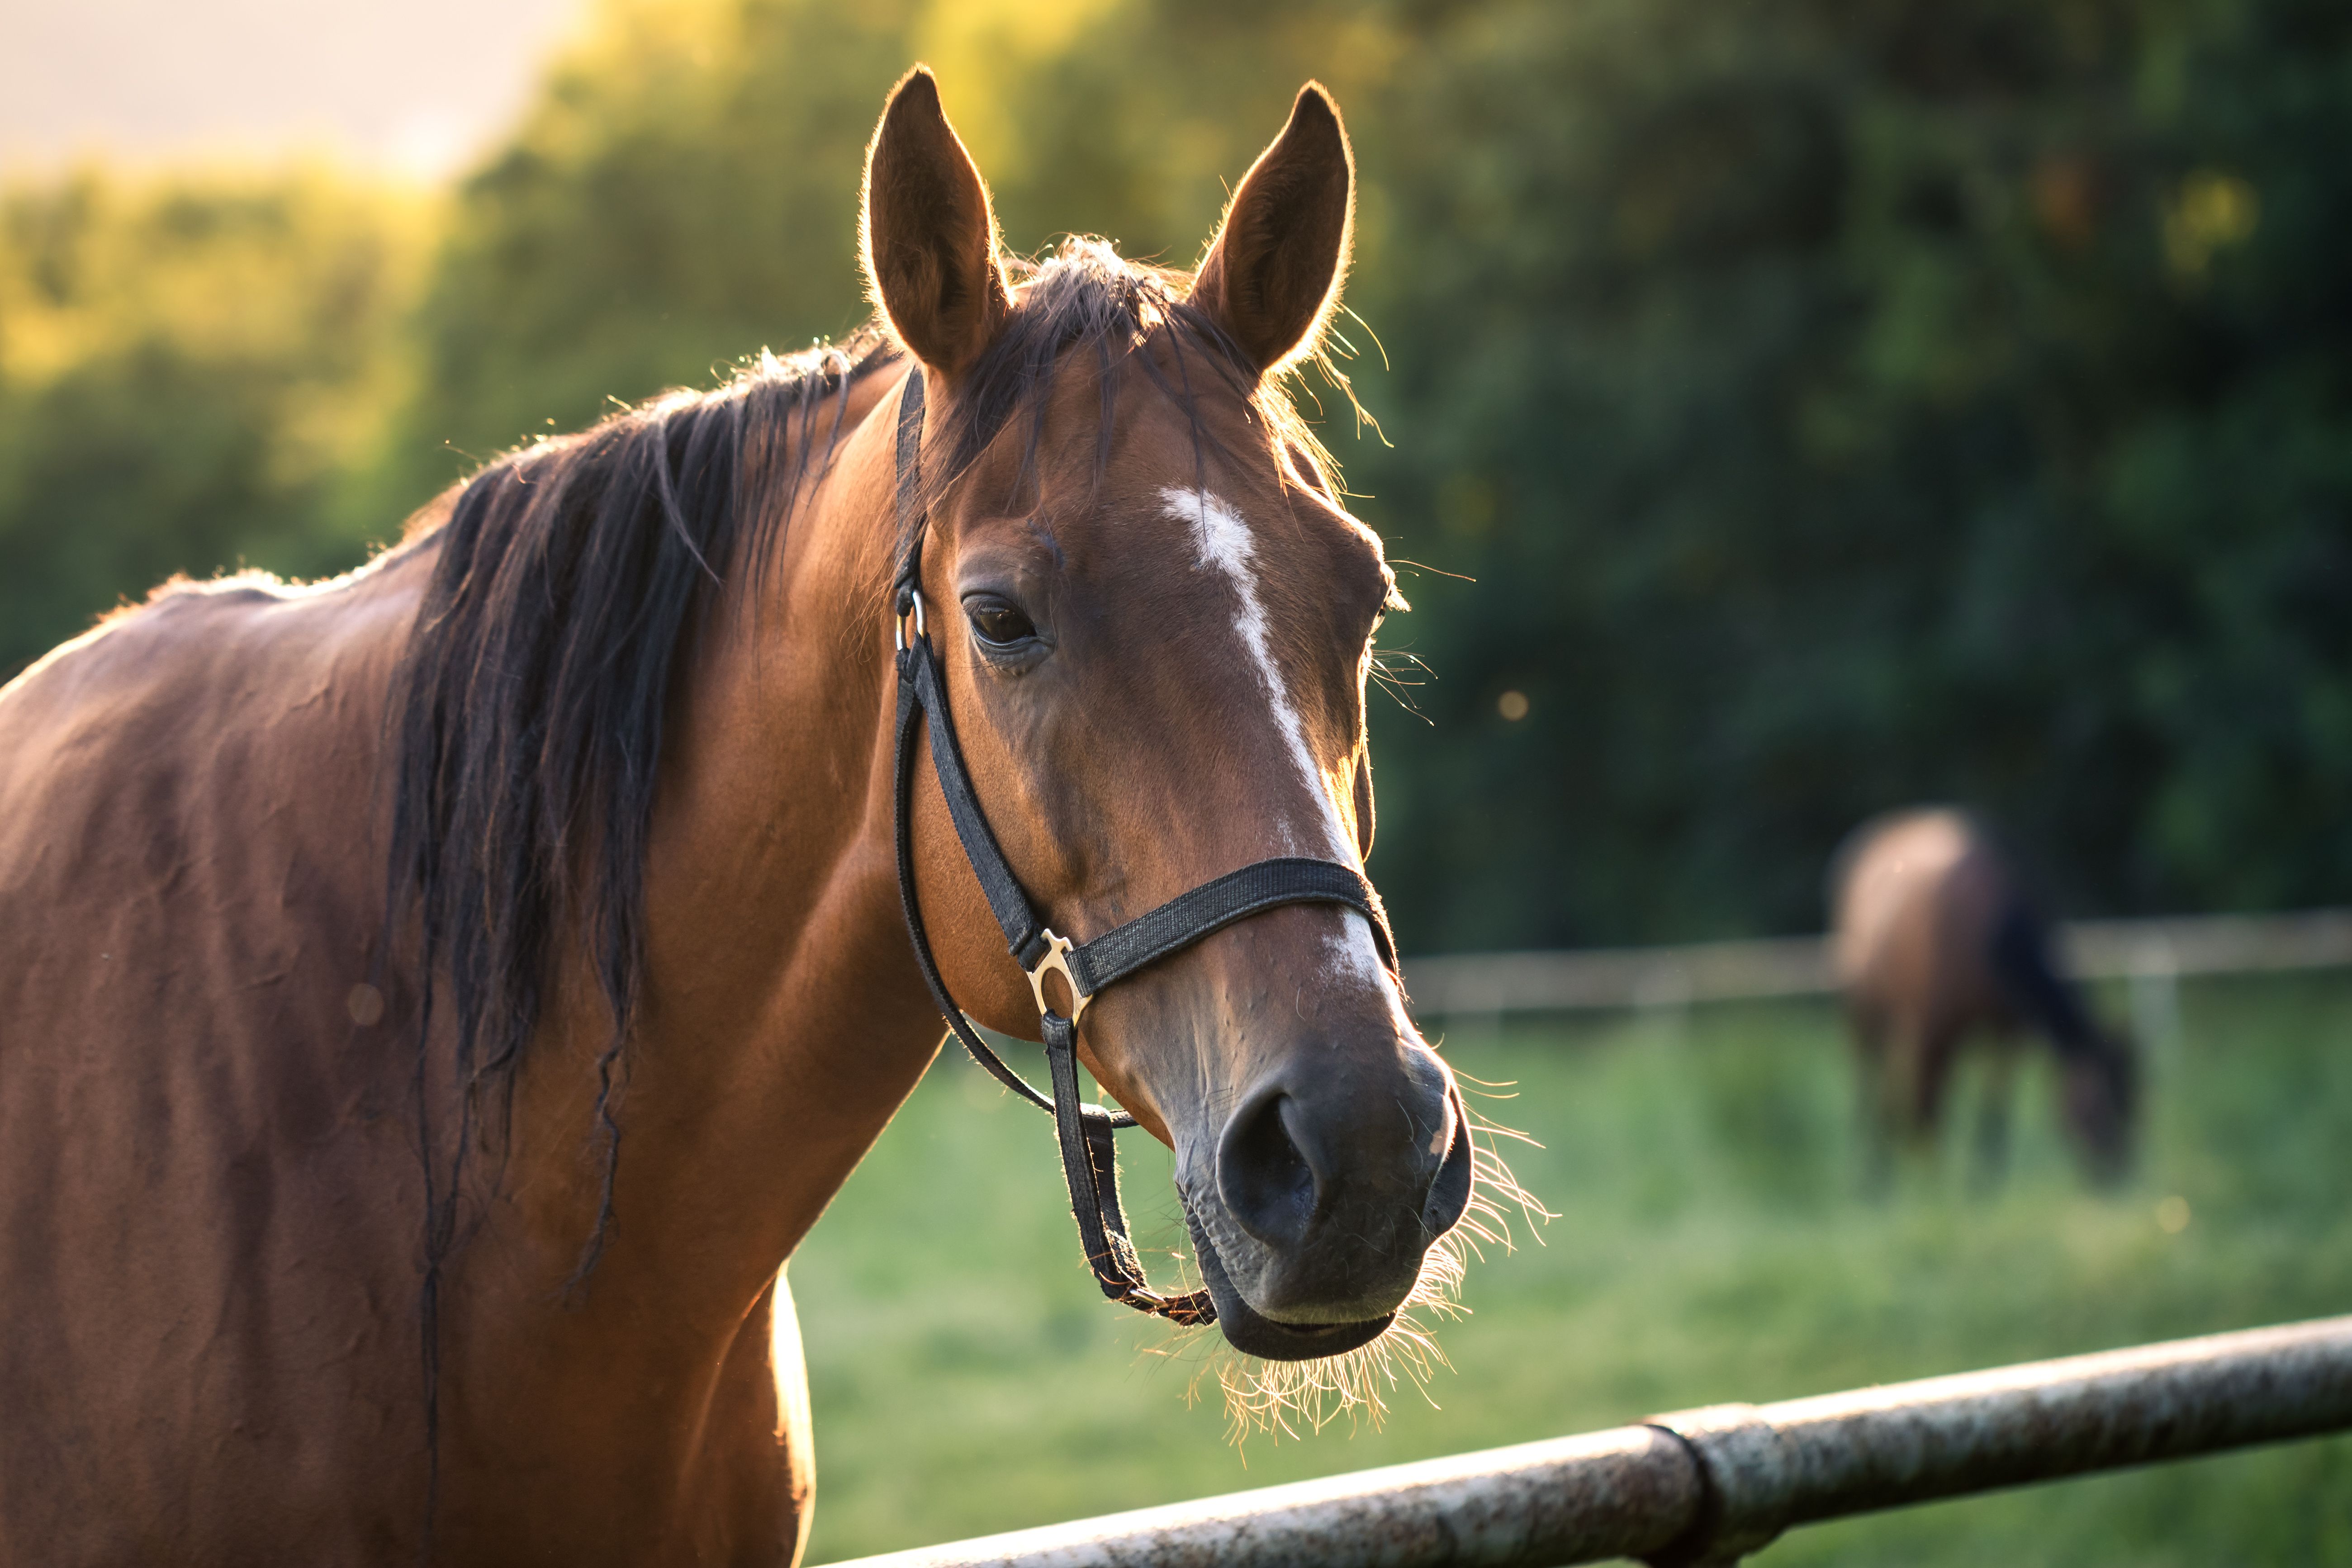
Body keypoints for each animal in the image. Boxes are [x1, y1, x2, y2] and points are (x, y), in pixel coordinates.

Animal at [1825, 809, 2145, 1189]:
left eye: (2135, 1105)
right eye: (2097, 1107)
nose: (2117, 1178)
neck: (1988, 930)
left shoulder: (2007, 1036)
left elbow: (1994, 1107)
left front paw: (1985, 1180)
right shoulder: (1936, 1033)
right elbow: (1929, 1108)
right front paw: (1931, 1185)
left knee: (1892, 1095)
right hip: (1866, 1013)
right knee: (1869, 1085)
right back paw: (1871, 1178)